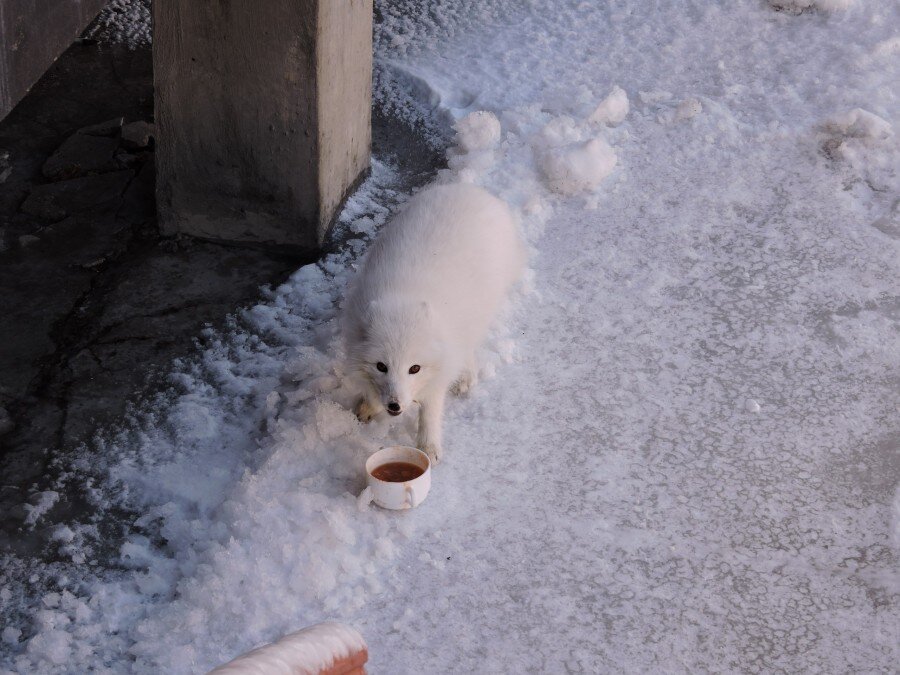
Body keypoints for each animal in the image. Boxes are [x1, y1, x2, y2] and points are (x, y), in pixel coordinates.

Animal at [344, 182, 528, 462]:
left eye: (415, 368)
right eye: (381, 366)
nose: (395, 405)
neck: (403, 297)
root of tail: (473, 191)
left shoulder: (440, 369)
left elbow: (431, 409)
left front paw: (428, 446)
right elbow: (372, 389)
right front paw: (371, 406)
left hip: (480, 310)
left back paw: (466, 377)